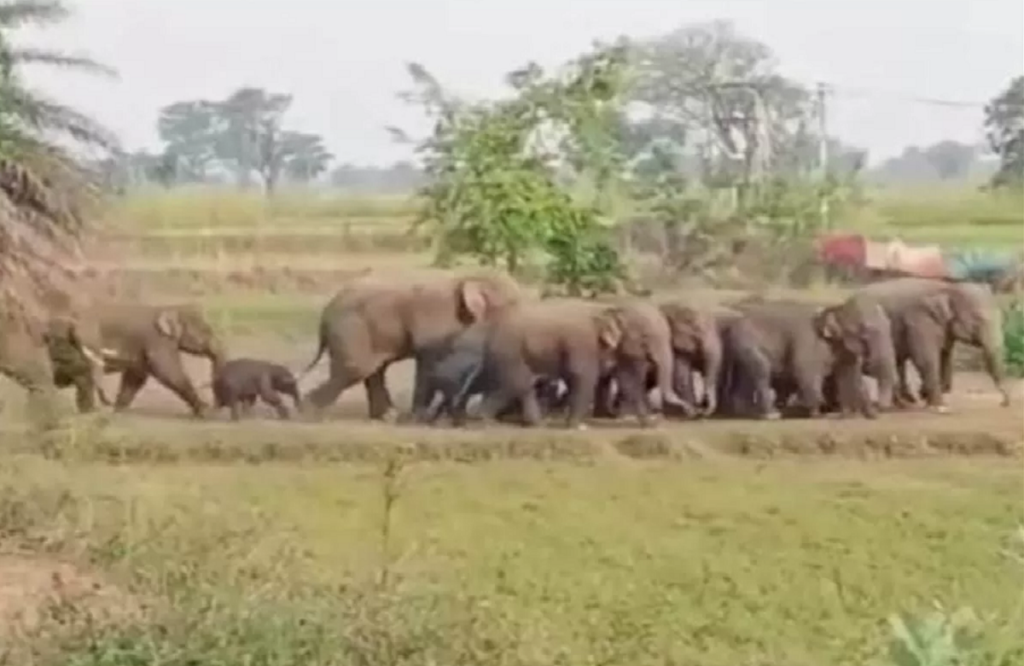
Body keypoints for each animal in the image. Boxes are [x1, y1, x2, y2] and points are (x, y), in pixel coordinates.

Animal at [90, 303, 228, 417]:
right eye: (206, 331)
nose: (214, 407)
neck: (167, 307)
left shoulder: (141, 348)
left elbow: (136, 376)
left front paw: (118, 410)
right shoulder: (157, 339)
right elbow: (169, 372)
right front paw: (204, 411)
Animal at [300, 269, 523, 421]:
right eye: (514, 303)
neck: (472, 276)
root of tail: (325, 313)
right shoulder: (436, 319)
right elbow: (428, 361)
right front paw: (420, 418)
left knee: (374, 371)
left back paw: (387, 417)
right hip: (352, 330)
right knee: (355, 371)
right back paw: (306, 415)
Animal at [721, 297, 880, 420]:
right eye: (863, 330)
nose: (874, 416)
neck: (832, 309)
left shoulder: (843, 347)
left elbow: (849, 374)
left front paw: (848, 415)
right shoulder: (808, 340)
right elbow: (804, 368)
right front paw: (818, 414)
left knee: (746, 375)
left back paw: (746, 412)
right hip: (747, 341)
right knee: (762, 369)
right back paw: (772, 415)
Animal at [855, 278, 1010, 411]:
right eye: (977, 319)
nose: (1003, 403)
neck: (948, 287)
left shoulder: (944, 328)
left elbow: (944, 356)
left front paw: (926, 395)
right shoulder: (919, 321)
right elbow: (925, 358)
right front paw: (938, 404)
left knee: (896, 363)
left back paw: (904, 402)